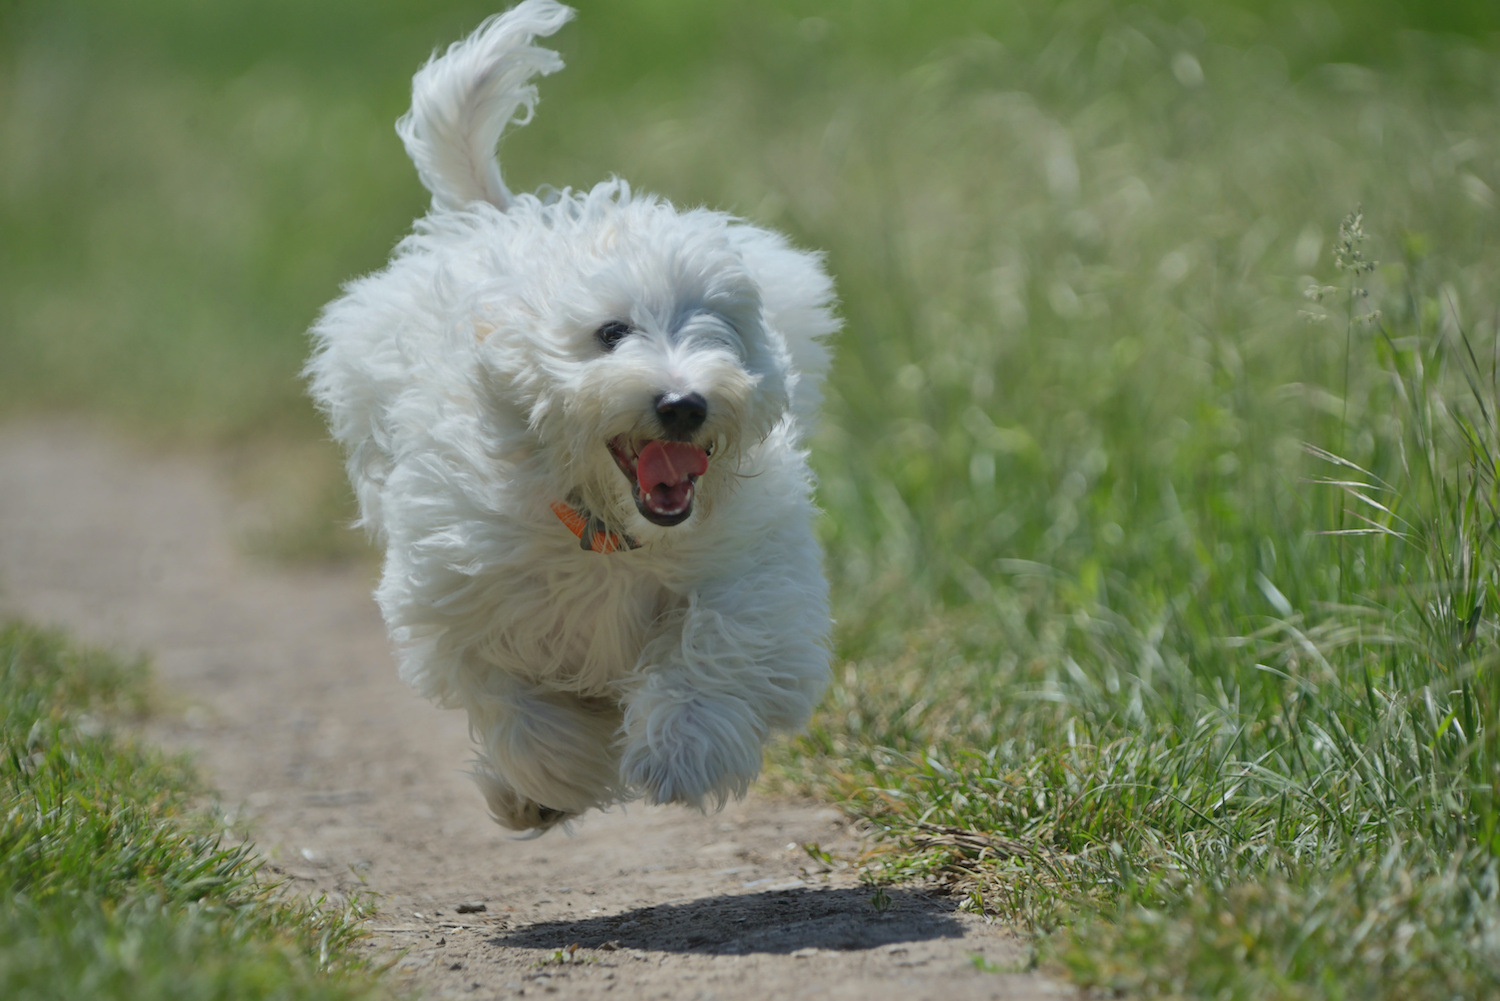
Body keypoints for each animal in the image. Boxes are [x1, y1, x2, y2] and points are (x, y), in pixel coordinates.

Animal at [301, 1, 846, 828]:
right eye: (610, 333)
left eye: (716, 326)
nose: (683, 403)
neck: (608, 536)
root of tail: (503, 221)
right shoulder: (460, 594)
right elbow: (512, 701)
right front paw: (549, 780)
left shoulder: (752, 573)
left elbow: (719, 641)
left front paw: (679, 749)